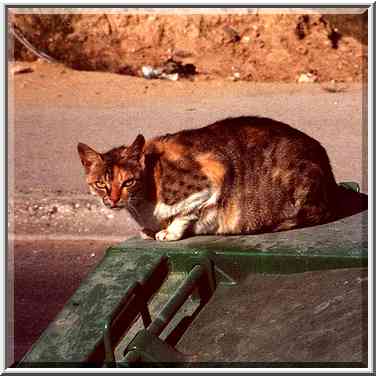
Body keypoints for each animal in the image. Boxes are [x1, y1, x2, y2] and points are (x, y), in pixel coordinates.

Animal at [78, 116, 352, 242]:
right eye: (101, 184)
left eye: (128, 182)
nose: (113, 200)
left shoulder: (211, 174)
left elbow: (184, 214)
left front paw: (169, 232)